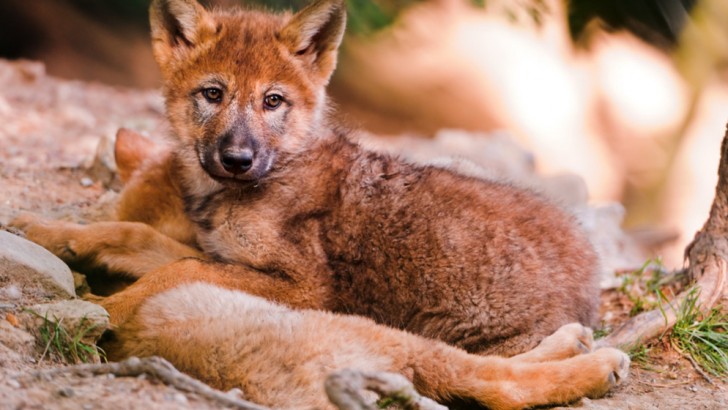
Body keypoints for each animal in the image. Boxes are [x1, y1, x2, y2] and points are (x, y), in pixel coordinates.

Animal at [11, 0, 629, 407]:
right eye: (212, 94)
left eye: (272, 101)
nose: (237, 158)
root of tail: (592, 281)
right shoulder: (225, 257)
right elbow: (137, 238)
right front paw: (44, 233)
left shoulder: (302, 287)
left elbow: (170, 274)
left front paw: (101, 309)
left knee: (491, 379)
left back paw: (593, 360)